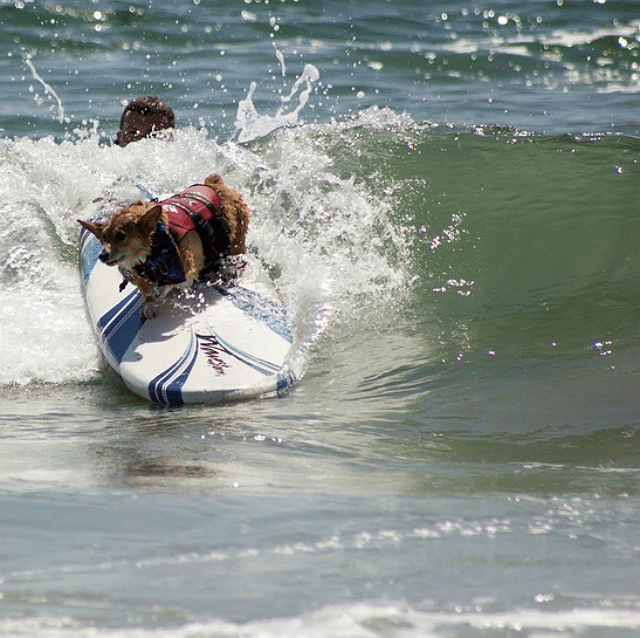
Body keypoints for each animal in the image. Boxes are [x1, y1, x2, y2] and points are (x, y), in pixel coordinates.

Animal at [78, 174, 250, 318]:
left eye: (121, 236)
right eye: (104, 238)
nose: (102, 256)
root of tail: (213, 182)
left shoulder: (189, 259)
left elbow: (179, 278)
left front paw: (164, 288)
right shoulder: (140, 271)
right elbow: (146, 289)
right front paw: (149, 304)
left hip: (235, 238)